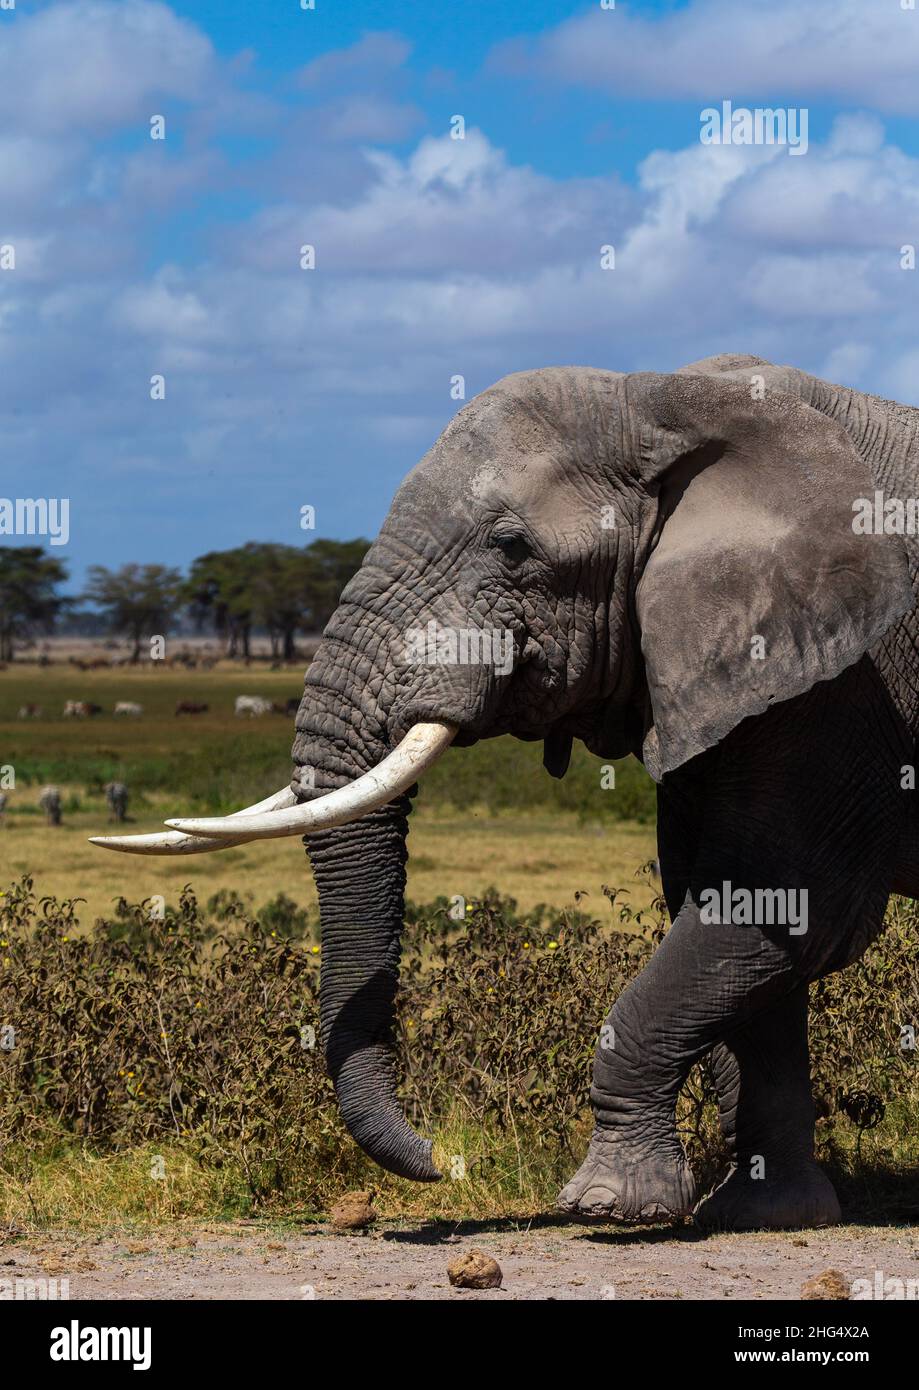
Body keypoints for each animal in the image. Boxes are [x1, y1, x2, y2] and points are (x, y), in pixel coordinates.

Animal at [93, 353, 917, 1234]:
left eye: (512, 547)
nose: (440, 1162)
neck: (661, 400)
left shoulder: (846, 679)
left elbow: (790, 902)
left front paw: (608, 1208)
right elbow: (735, 916)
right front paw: (764, 1213)